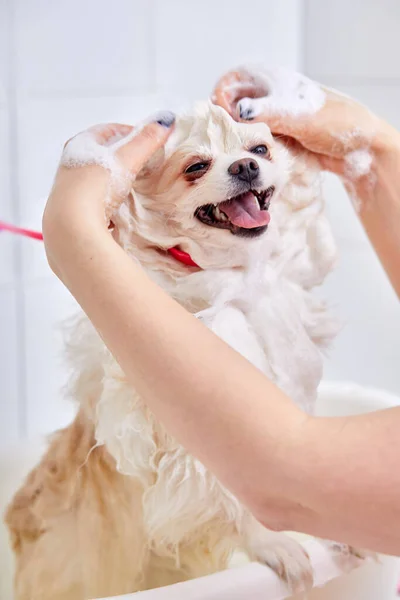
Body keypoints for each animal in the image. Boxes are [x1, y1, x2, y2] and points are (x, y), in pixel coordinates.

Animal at [3, 103, 338, 600]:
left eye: (260, 149)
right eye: (195, 167)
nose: (245, 167)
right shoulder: (184, 446)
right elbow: (230, 495)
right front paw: (271, 542)